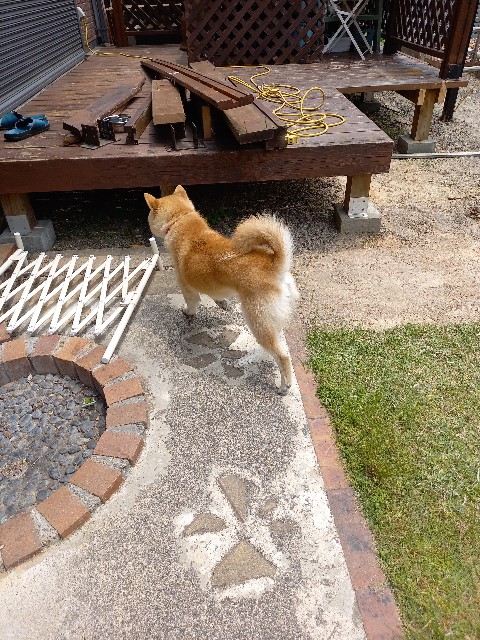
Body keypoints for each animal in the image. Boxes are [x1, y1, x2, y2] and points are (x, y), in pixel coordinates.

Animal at [144, 185, 298, 392]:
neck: (181, 221)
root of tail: (275, 265)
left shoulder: (186, 286)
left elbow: (191, 303)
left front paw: (188, 313)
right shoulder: (211, 285)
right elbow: (215, 295)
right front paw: (222, 304)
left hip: (257, 320)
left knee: (282, 356)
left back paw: (285, 385)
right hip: (271, 320)